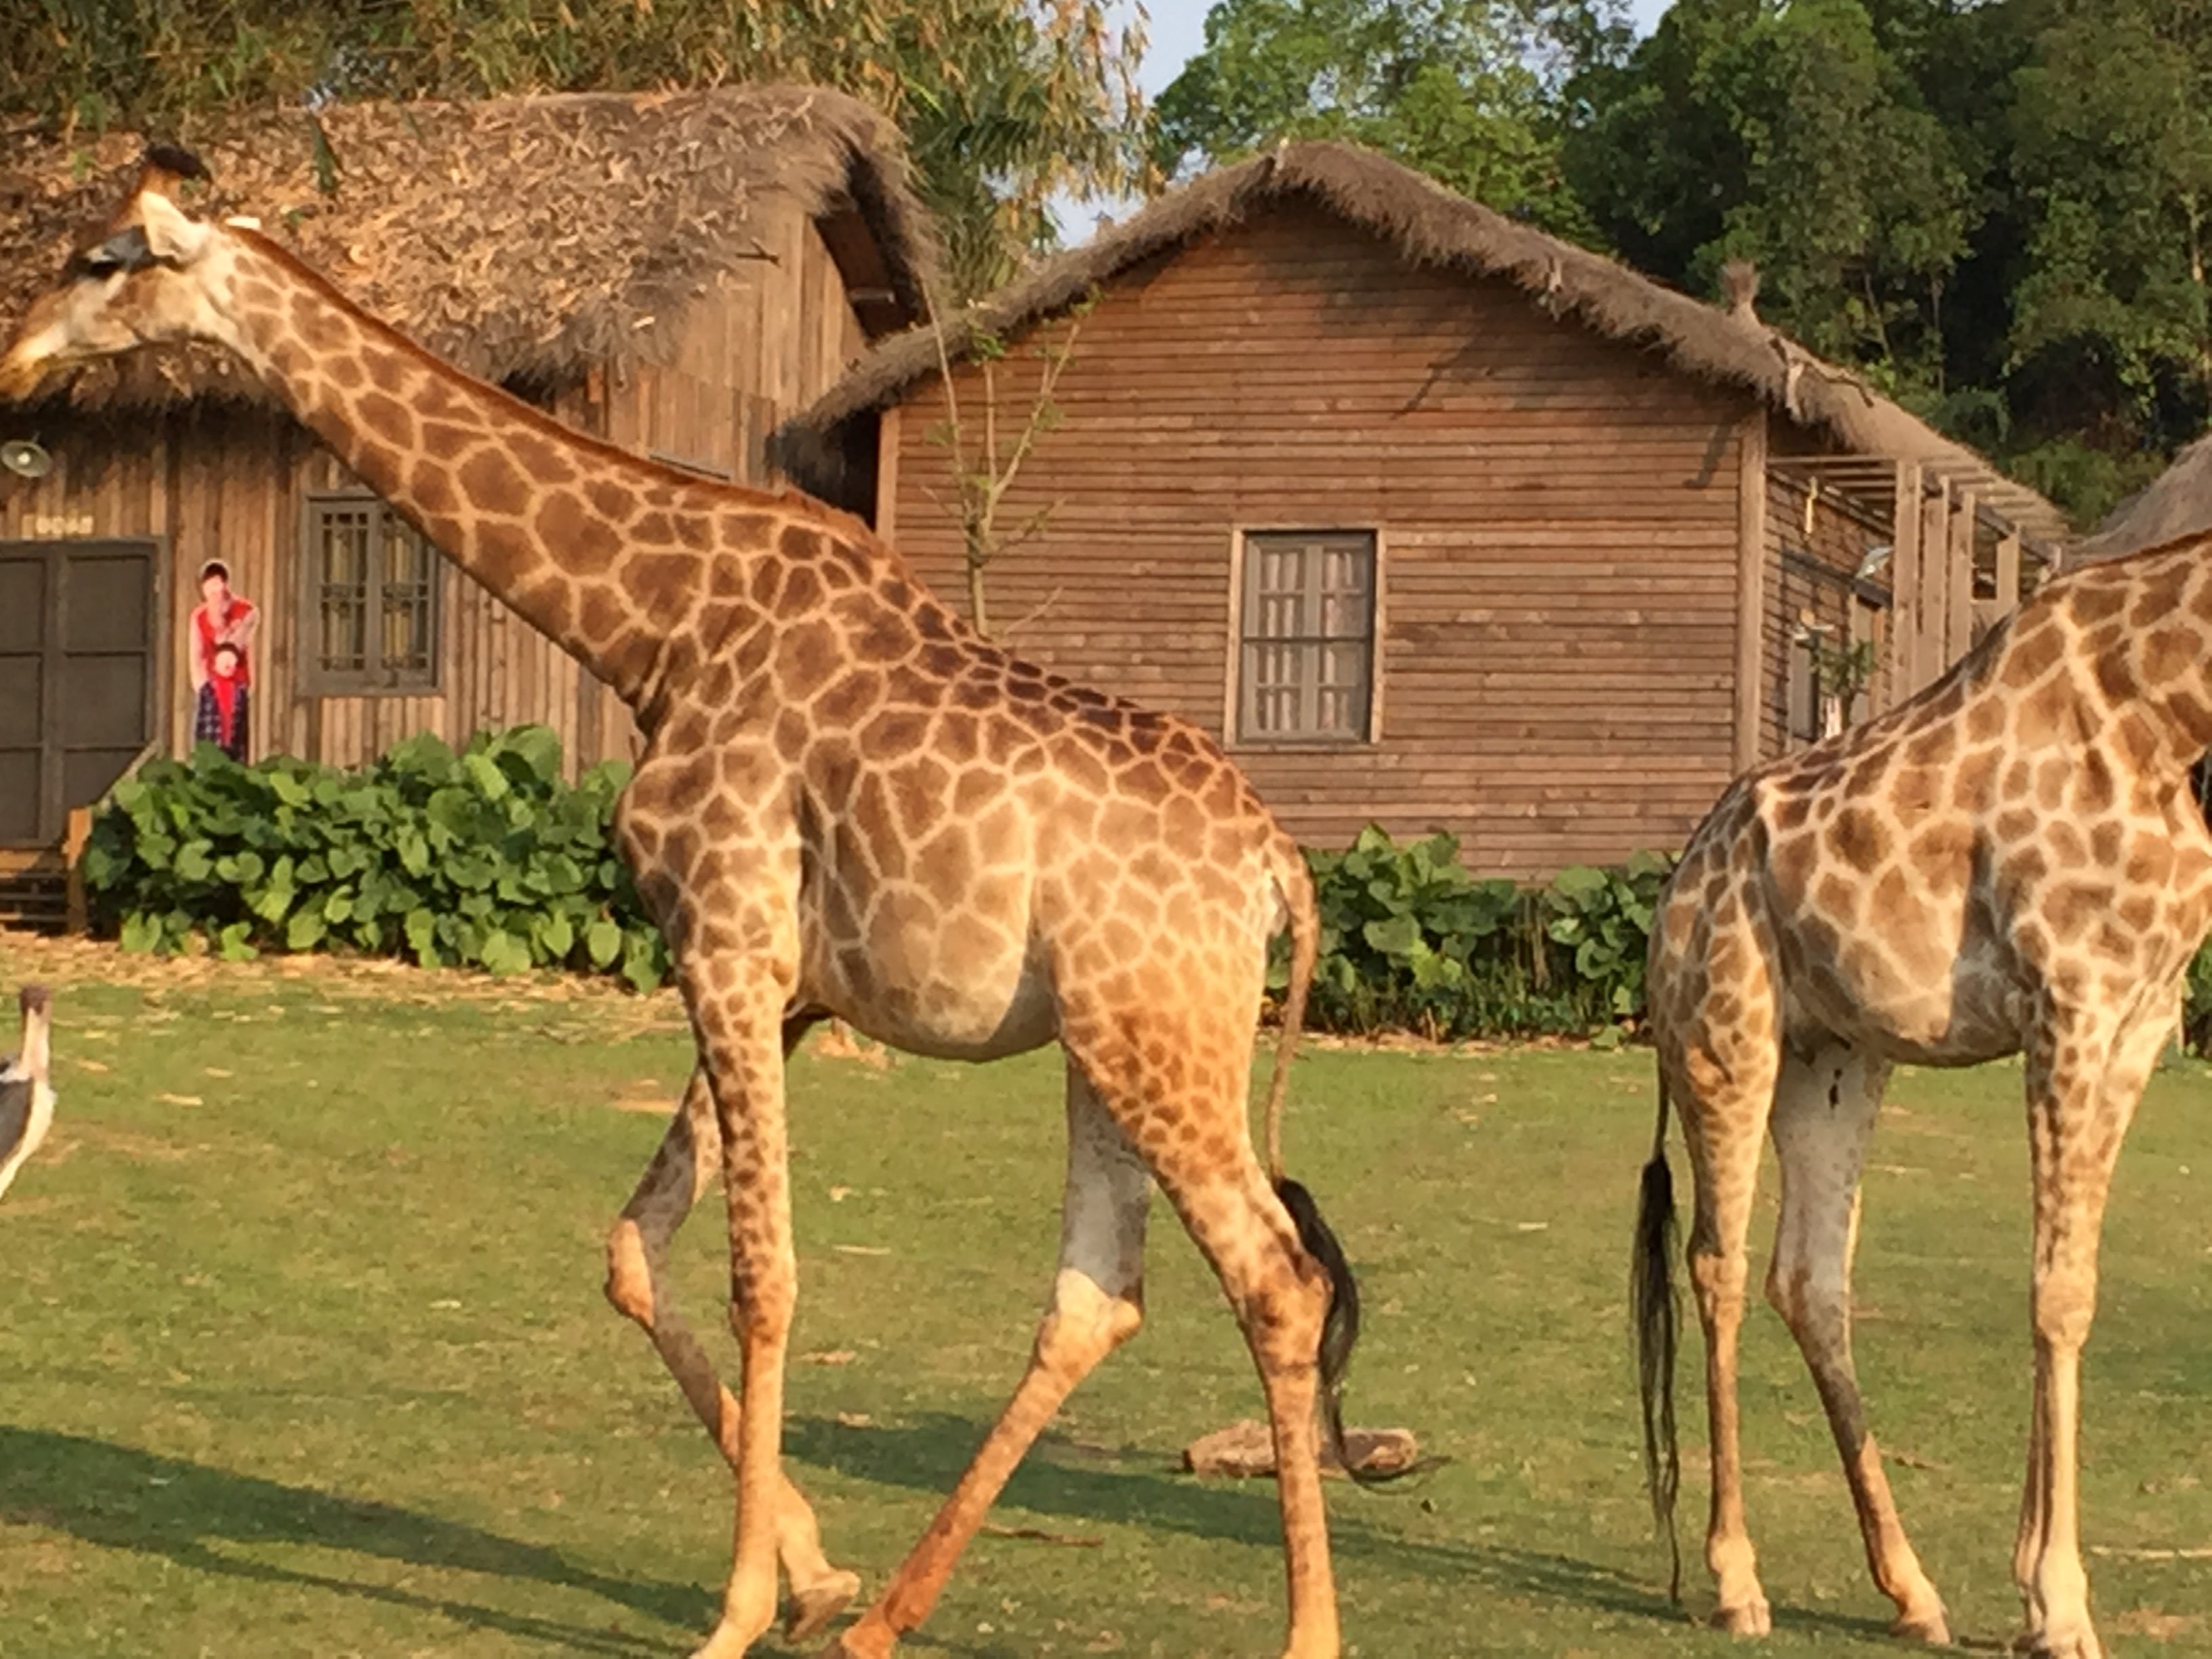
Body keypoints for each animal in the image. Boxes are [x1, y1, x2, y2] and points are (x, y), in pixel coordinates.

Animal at [0, 152, 1362, 1659]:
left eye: (107, 258)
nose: (16, 358)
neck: (651, 623)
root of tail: (1274, 865)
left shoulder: (724, 938)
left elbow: (761, 1275)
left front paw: (738, 1608)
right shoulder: (780, 982)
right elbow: (633, 1250)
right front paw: (814, 1576)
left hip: (1159, 1035)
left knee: (1276, 1278)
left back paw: (1303, 1633)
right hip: (1106, 1041)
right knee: (1095, 1296)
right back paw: (885, 1616)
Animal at [1628, 526, 2212, 1654]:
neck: (2166, 712)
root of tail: (1675, 884)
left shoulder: (2138, 1021)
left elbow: (2070, 1287)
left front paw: (2030, 1592)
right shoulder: (2071, 1004)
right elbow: (2057, 1295)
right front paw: (2061, 1605)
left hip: (1836, 1061)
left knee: (1809, 1278)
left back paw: (1913, 1589)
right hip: (1726, 1039)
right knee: (1719, 1267)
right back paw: (1737, 1580)